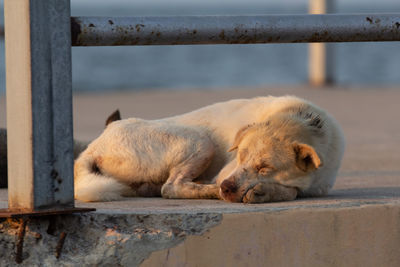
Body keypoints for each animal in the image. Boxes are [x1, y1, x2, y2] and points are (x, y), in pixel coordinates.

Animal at [74, 96, 344, 203]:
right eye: (239, 155)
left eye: (265, 167)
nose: (226, 186)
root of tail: (93, 146)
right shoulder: (227, 170)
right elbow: (292, 192)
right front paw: (265, 192)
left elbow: (293, 190)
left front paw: (264, 190)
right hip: (201, 141)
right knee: (171, 188)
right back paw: (211, 190)